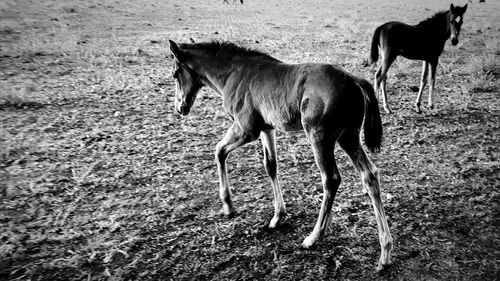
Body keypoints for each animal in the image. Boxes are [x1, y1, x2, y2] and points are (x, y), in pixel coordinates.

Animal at [170, 39, 392, 270]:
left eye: (175, 74)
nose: (180, 108)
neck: (234, 73)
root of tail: (353, 80)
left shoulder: (247, 129)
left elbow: (219, 151)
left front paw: (228, 204)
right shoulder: (267, 129)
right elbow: (271, 165)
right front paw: (278, 216)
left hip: (319, 137)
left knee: (331, 179)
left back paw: (314, 237)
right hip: (348, 137)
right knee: (369, 174)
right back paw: (385, 251)